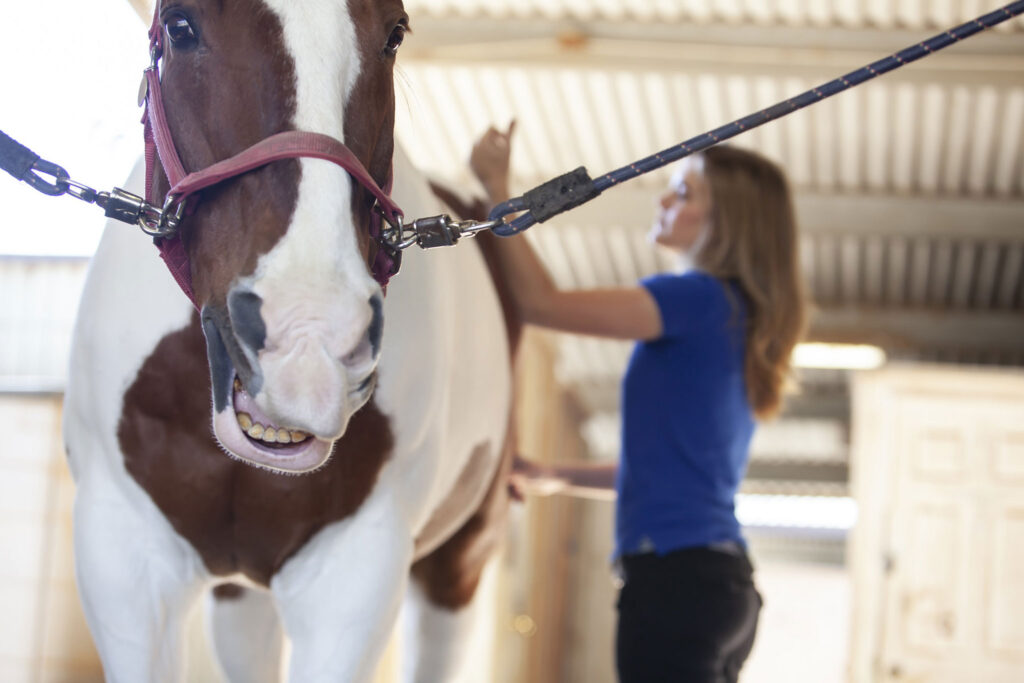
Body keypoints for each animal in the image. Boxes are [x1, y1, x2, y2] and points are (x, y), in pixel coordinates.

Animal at [59, 2, 516, 679]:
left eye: (394, 34)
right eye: (180, 26)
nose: (308, 338)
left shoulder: (353, 575)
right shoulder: (123, 557)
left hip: (457, 562)